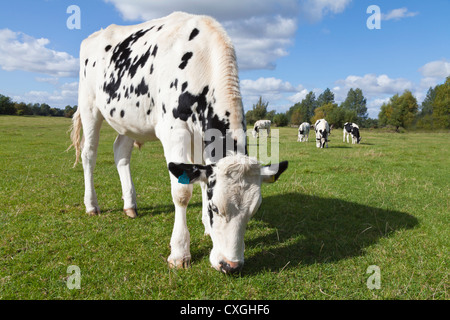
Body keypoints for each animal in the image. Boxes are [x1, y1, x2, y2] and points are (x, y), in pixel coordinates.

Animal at [69, 11, 288, 274]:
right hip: (89, 107)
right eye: (216, 208)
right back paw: (92, 205)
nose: (231, 265)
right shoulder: (175, 132)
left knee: (120, 152)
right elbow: (182, 192)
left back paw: (130, 205)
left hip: (130, 118)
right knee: (89, 154)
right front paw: (180, 252)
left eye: (253, 211)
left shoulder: (201, 139)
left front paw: (206, 228)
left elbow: (201, 179)